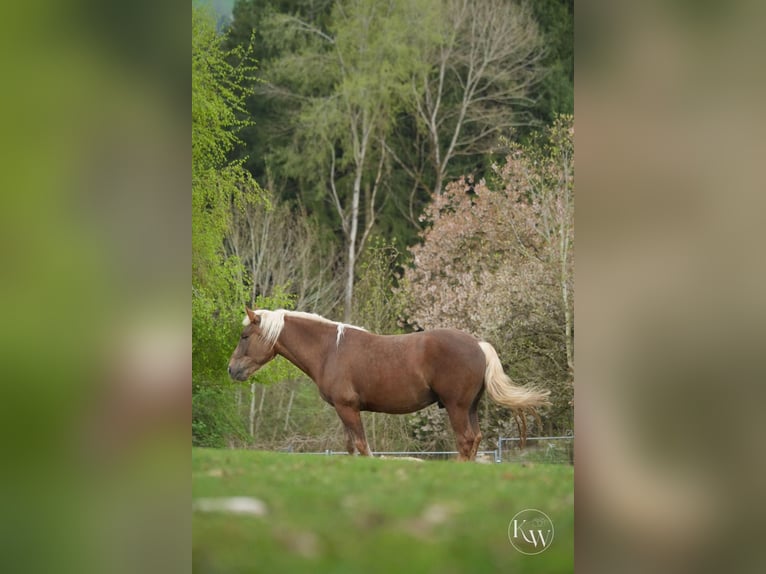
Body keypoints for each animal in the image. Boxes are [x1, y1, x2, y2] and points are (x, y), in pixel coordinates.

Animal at [228, 307, 550, 461]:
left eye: (244, 337)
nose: (232, 370)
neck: (330, 349)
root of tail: (479, 345)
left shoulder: (347, 408)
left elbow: (361, 445)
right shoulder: (344, 411)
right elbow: (350, 447)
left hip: (457, 407)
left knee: (465, 441)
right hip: (470, 407)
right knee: (476, 439)